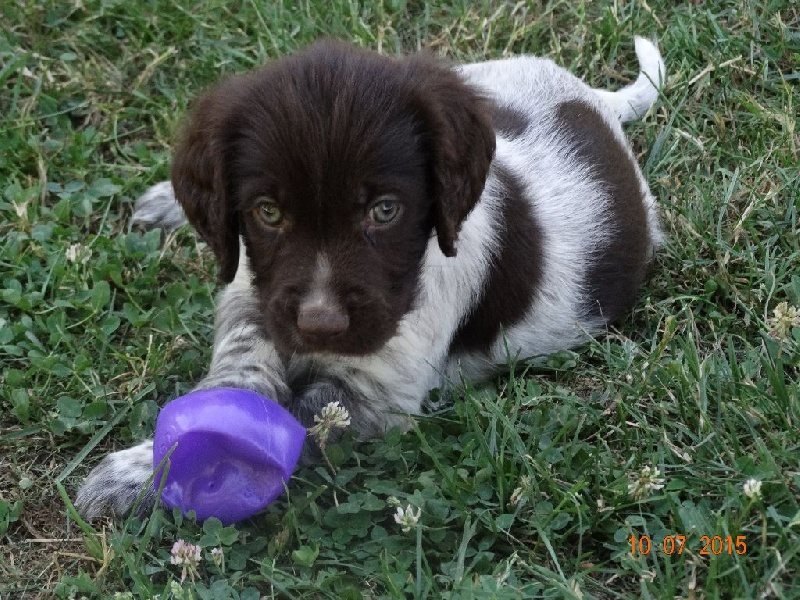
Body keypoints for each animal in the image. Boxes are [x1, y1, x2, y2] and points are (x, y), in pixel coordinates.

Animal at [76, 37, 664, 516]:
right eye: (267, 212)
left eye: (385, 210)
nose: (320, 323)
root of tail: (594, 103)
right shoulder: (254, 295)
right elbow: (240, 378)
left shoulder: (375, 397)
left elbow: (295, 420)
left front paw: (148, 471)